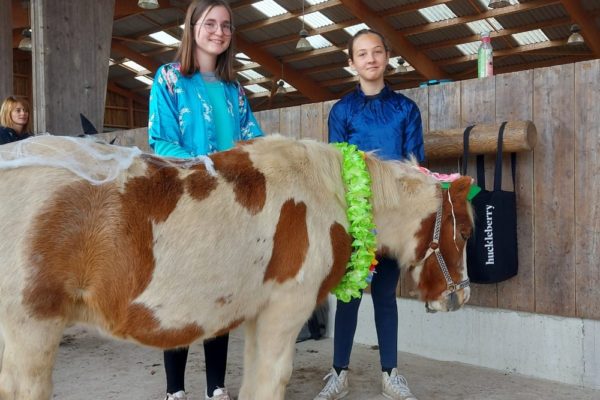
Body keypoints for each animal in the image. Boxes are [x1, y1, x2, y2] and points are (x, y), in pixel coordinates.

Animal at [0, 135, 472, 400]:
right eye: (466, 231)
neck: (330, 192)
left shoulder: (259, 315)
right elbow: (270, 382)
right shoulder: (285, 310)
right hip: (31, 327)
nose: (459, 296)